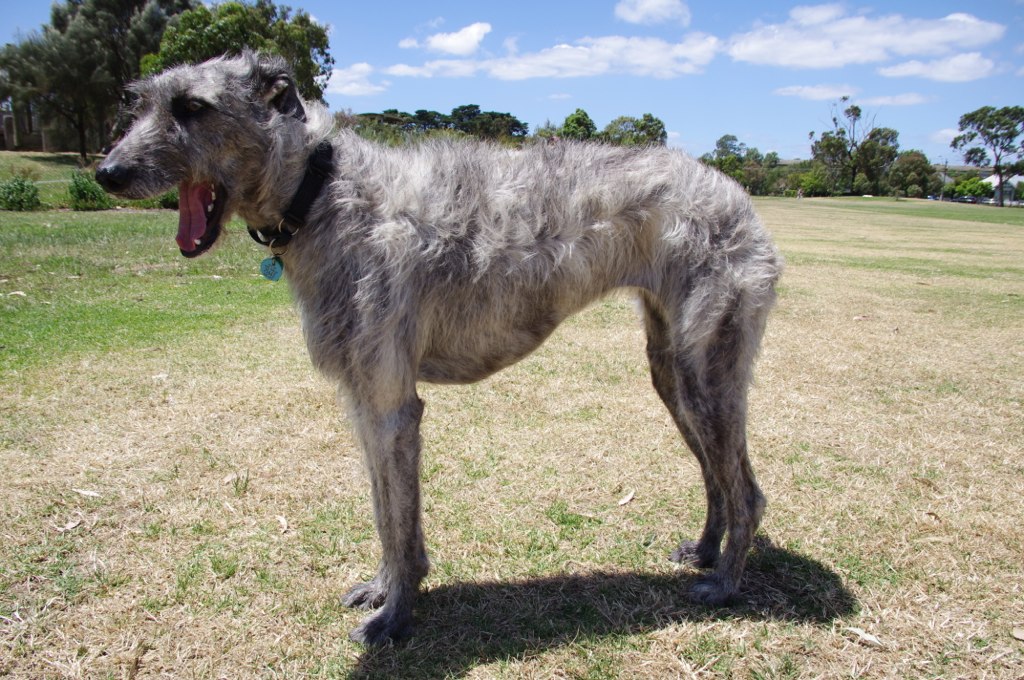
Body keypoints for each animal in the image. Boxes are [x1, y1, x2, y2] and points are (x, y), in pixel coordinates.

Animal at [97, 51, 782, 643]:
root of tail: (734, 192)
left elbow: (399, 523)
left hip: (709, 370)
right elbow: (385, 512)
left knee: (747, 491)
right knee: (717, 476)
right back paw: (705, 551)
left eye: (193, 107)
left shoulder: (392, 405)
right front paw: (383, 590)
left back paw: (725, 584)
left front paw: (395, 617)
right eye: (139, 102)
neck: (321, 192)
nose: (107, 173)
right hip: (672, 371)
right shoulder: (364, 404)